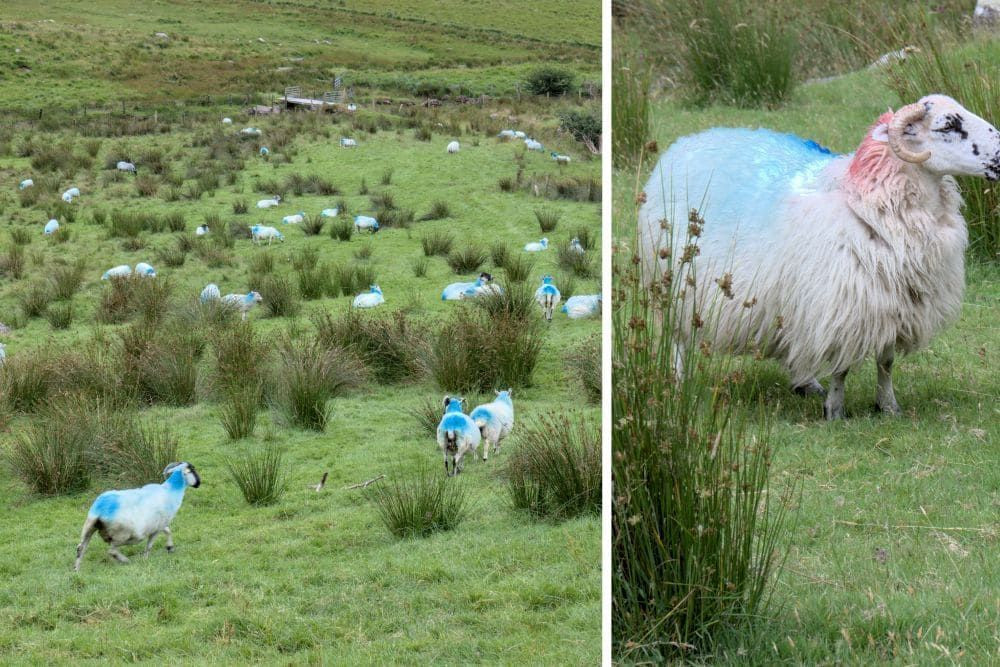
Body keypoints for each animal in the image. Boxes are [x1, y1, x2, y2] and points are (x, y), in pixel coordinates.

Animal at [638, 94, 1000, 420]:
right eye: (948, 125)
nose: (999, 155)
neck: (865, 201)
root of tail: (688, 141)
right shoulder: (844, 304)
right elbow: (842, 367)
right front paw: (835, 411)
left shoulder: (891, 302)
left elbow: (886, 362)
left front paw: (888, 407)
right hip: (674, 282)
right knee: (677, 338)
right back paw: (678, 382)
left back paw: (806, 382)